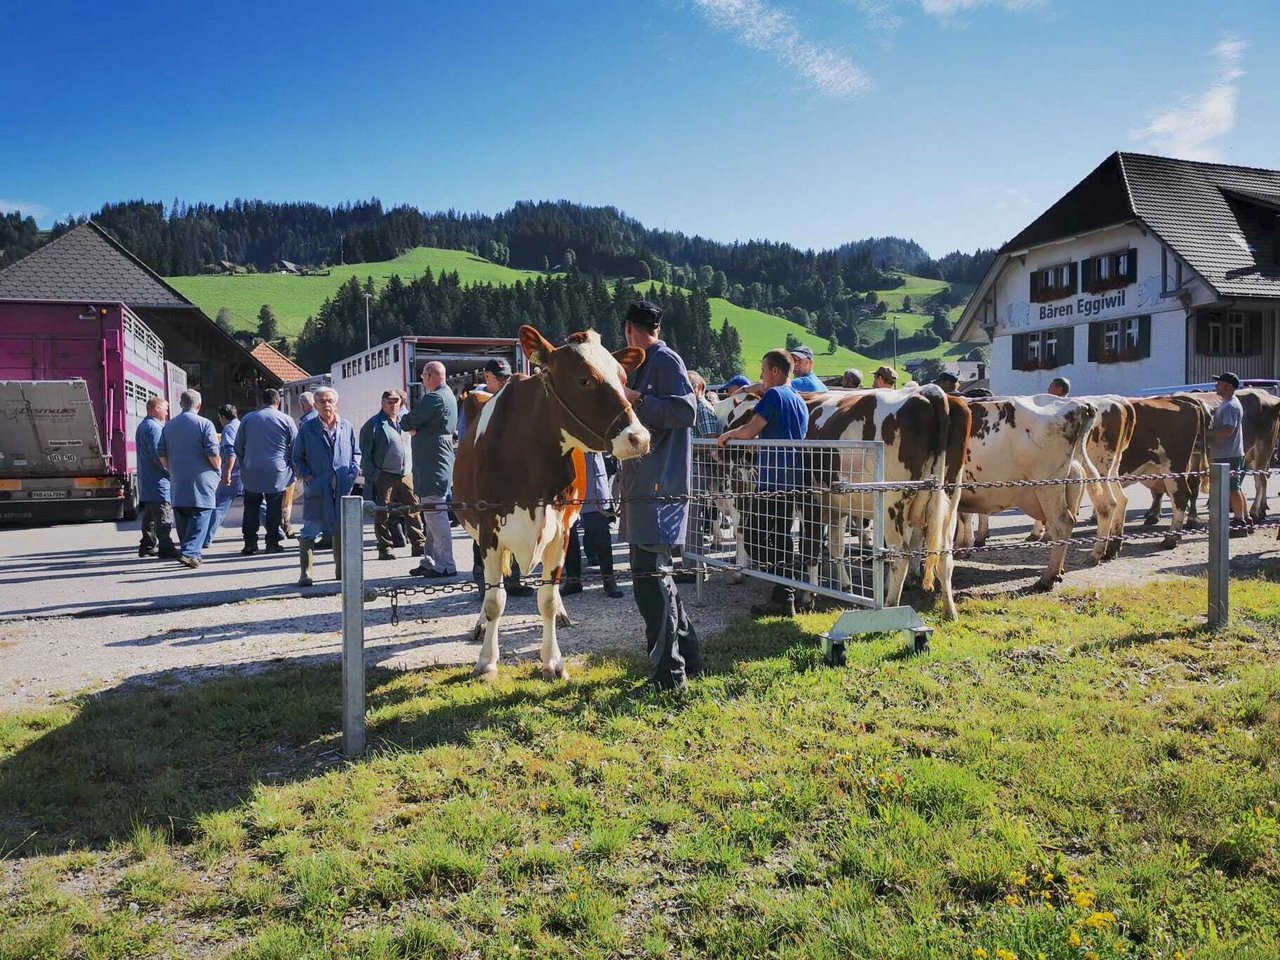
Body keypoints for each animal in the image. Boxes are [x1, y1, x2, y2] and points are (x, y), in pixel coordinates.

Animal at [450, 330, 650, 686]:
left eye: (624, 379)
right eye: (584, 380)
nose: (638, 438)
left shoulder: (561, 531)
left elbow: (547, 599)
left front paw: (553, 661)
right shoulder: (489, 532)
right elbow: (494, 600)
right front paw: (486, 662)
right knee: (486, 585)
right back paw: (480, 625)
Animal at [962, 394, 1100, 591]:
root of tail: (1080, 404)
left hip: (1047, 485)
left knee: (1062, 523)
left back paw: (1047, 579)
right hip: (1073, 479)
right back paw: (1059, 570)